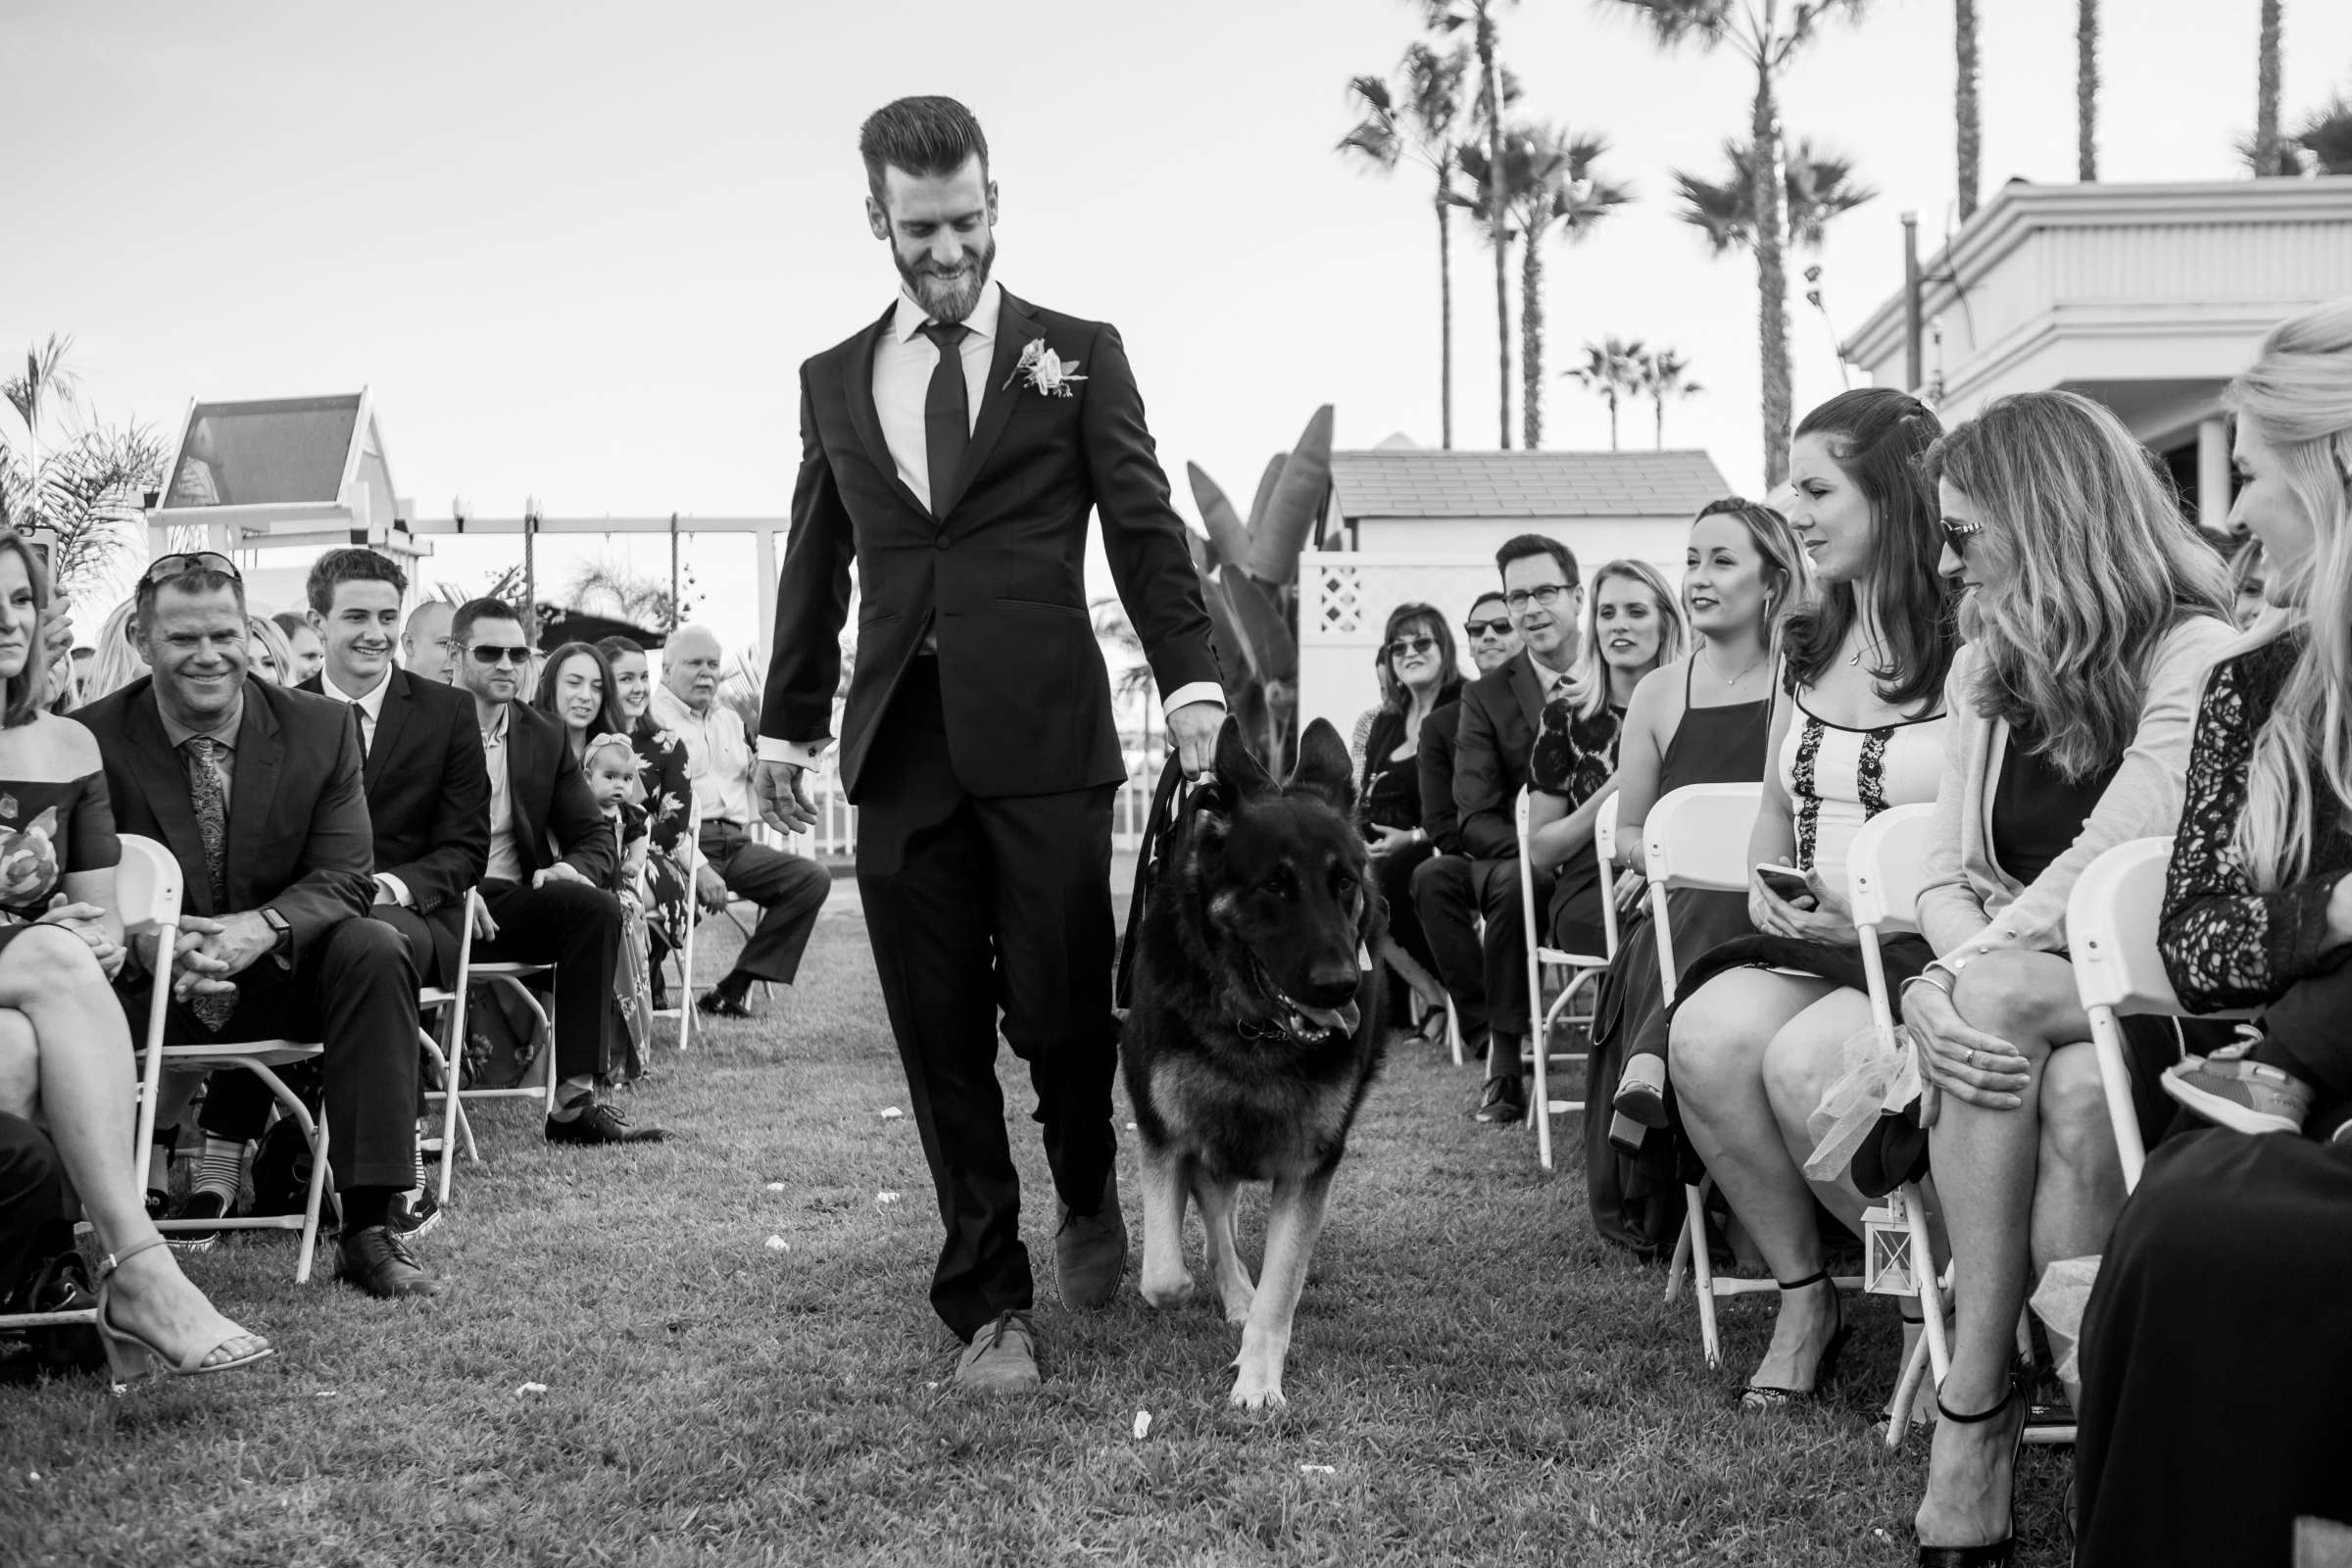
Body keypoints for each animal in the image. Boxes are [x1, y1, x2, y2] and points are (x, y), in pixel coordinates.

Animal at [1114, 710, 1373, 1410]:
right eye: (1276, 886)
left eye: (1344, 884)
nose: (1341, 988)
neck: (1253, 1030)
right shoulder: (1166, 1134)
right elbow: (1165, 1277)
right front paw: (1222, 1295)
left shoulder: (1310, 1168)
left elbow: (1280, 1291)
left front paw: (1257, 1380)